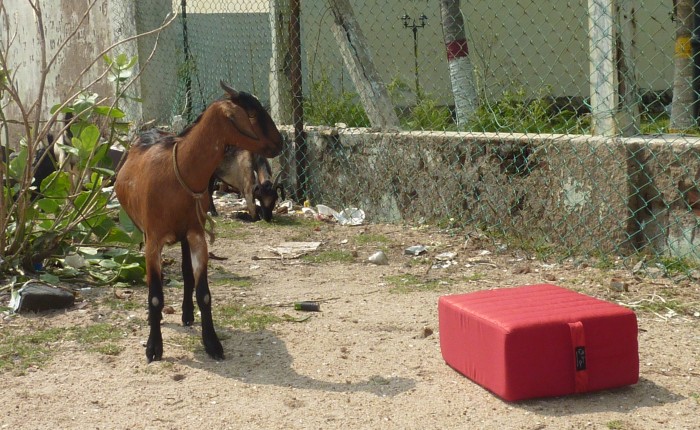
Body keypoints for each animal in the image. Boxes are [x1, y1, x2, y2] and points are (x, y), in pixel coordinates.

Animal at [115, 81, 282, 362]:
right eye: (252, 113)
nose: (279, 143)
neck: (178, 171)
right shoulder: (154, 239)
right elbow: (155, 296)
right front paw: (154, 347)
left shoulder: (196, 234)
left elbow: (203, 293)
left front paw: (212, 343)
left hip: (185, 233)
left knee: (185, 272)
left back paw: (187, 314)